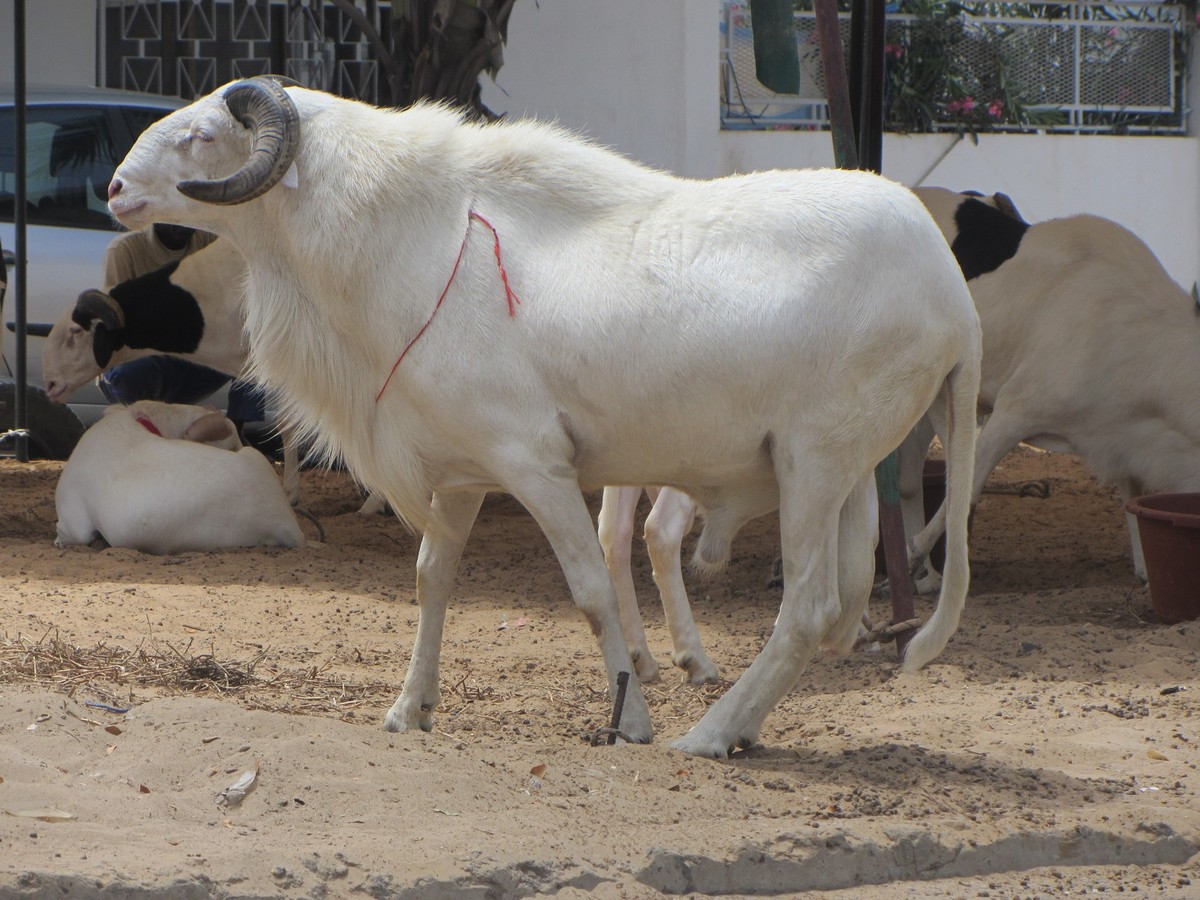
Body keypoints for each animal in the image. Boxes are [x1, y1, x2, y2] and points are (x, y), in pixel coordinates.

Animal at [106, 77, 981, 757]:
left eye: (203, 135)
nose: (114, 189)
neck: (413, 239)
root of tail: (954, 292)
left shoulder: (534, 463)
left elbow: (591, 591)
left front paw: (631, 721)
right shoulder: (460, 474)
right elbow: (430, 582)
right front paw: (409, 709)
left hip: (814, 464)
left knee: (805, 612)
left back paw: (706, 733)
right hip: (847, 474)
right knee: (835, 604)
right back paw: (740, 725)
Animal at [905, 187, 1200, 585]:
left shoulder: (1121, 436)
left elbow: (1131, 496)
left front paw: (1145, 570)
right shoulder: (1014, 410)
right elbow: (967, 486)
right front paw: (916, 552)